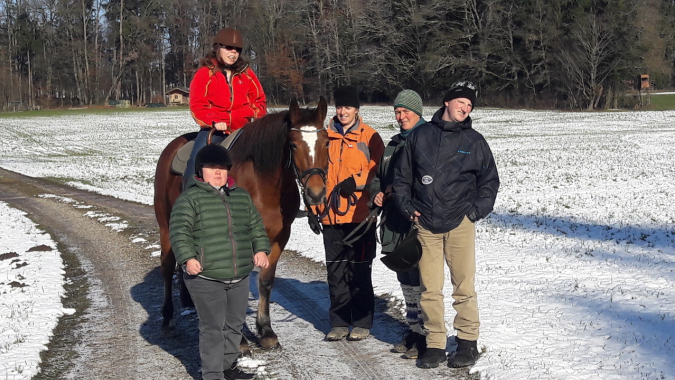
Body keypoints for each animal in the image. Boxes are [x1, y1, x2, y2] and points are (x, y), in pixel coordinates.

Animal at [156, 98, 330, 350]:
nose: (316, 194)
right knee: (167, 267)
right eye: (293, 145)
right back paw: (168, 319)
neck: (262, 185)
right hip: (166, 226)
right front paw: (239, 339)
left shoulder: (279, 237)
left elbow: (266, 281)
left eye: (327, 142)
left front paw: (266, 330)